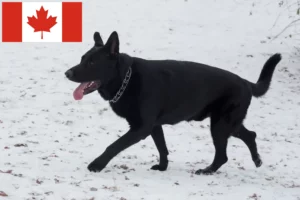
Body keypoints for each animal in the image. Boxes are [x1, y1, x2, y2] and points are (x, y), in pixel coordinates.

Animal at [64, 31, 282, 175]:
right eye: (82, 59)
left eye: (92, 62)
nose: (67, 73)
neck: (127, 78)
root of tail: (246, 83)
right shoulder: (154, 126)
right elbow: (162, 147)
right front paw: (163, 167)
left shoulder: (141, 128)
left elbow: (113, 146)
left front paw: (97, 165)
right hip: (228, 124)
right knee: (250, 135)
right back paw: (257, 160)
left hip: (220, 125)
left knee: (223, 155)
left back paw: (207, 170)